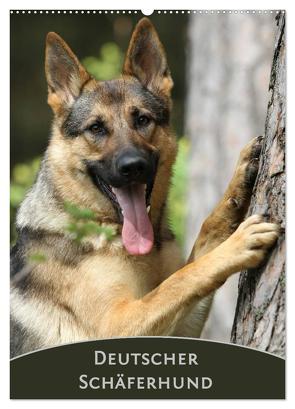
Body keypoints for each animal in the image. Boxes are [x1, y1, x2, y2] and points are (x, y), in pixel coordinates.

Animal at [11, 18, 280, 356]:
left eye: (142, 120)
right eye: (96, 128)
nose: (133, 166)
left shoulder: (179, 327)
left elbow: (203, 240)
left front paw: (242, 173)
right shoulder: (119, 323)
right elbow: (180, 280)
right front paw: (238, 245)